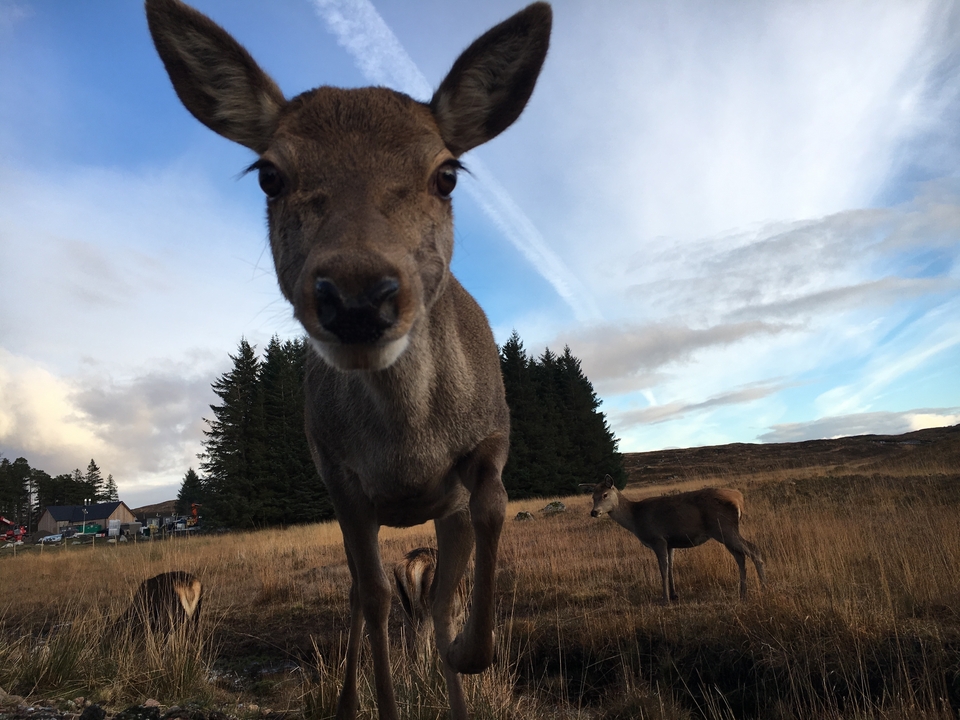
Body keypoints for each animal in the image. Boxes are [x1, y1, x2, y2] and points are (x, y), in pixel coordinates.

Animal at [145, 2, 551, 718]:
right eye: (270, 174)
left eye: (447, 173)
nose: (359, 296)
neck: (409, 447)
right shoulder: (340, 479)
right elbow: (380, 597)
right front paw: (388, 698)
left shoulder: (484, 450)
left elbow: (486, 524)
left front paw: (468, 656)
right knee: (362, 596)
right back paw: (346, 700)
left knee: (429, 597)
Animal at [582, 475, 766, 603]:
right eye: (592, 497)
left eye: (605, 495)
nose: (594, 512)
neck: (635, 518)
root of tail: (739, 499)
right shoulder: (670, 542)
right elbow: (670, 568)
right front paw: (674, 594)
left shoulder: (658, 539)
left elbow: (663, 569)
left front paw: (665, 599)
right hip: (725, 532)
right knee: (740, 557)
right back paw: (742, 593)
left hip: (724, 528)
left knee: (754, 550)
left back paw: (764, 587)